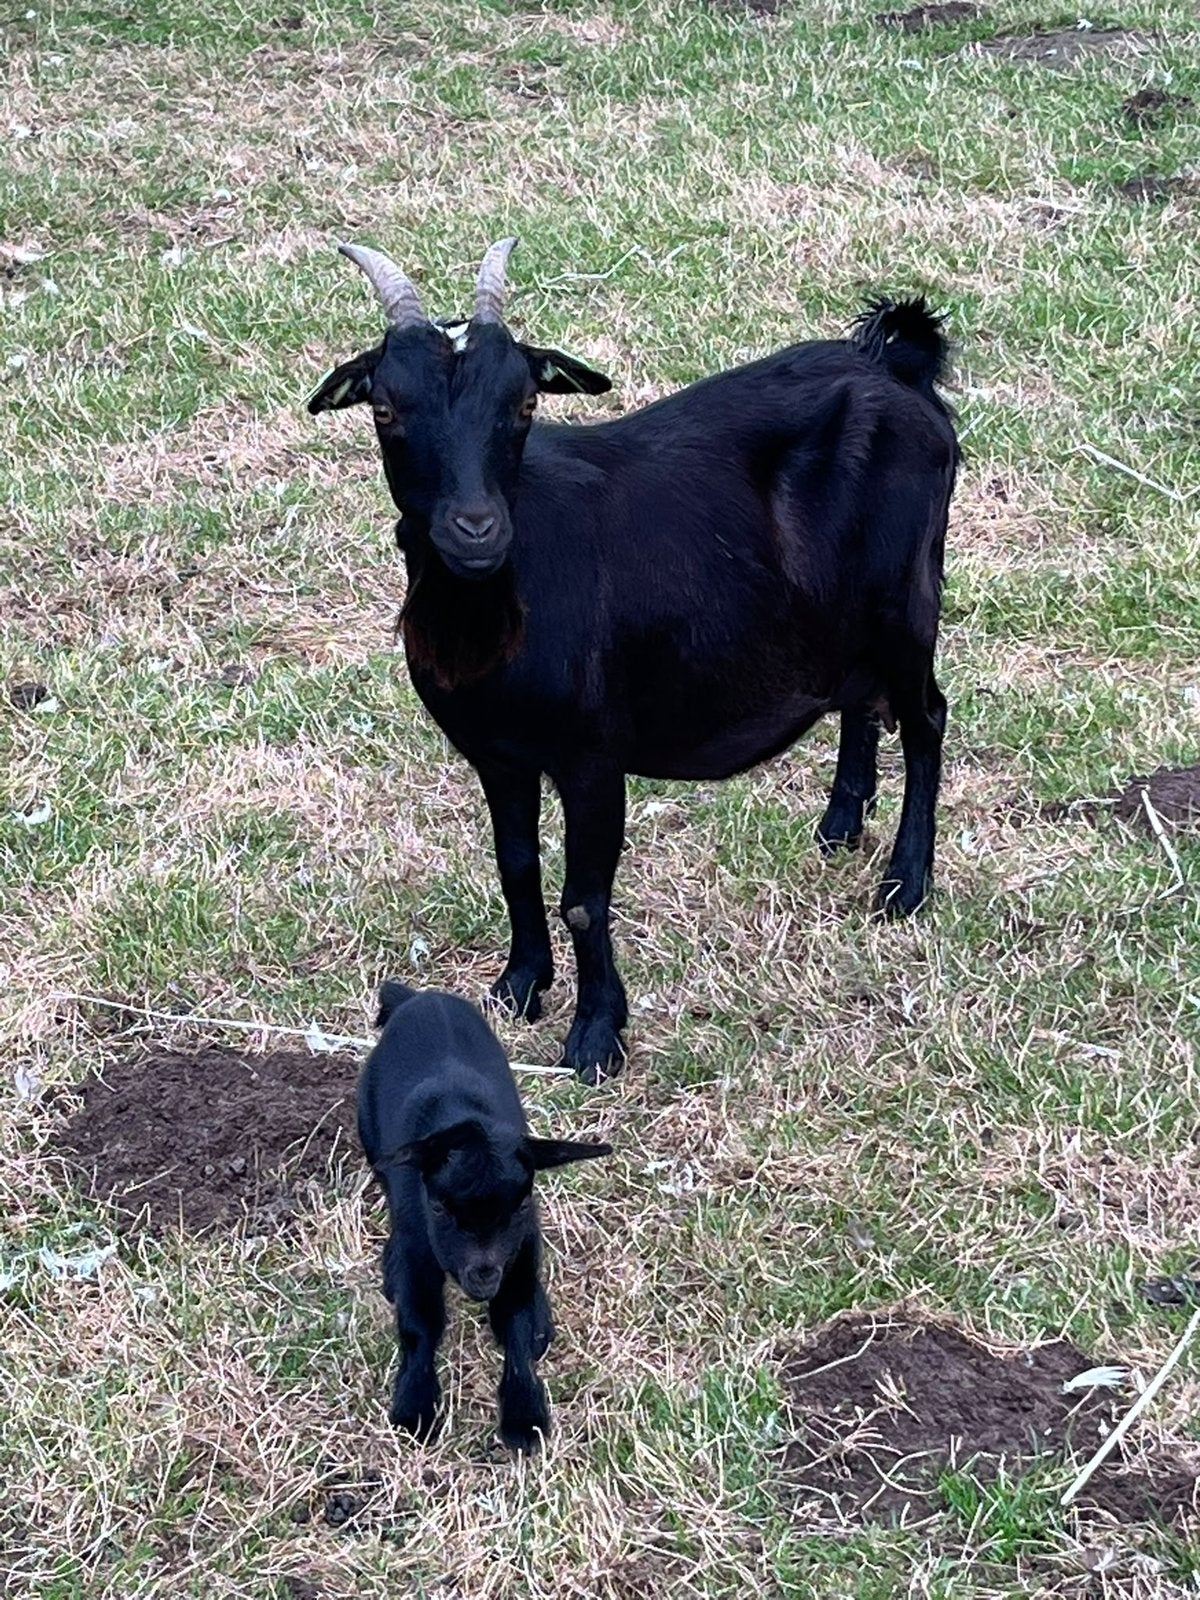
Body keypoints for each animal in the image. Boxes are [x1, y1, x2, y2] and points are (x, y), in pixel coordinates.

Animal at [311, 239, 959, 1084]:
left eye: (524, 405)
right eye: (385, 410)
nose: (476, 529)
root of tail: (895, 367)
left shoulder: (592, 757)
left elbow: (585, 896)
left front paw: (594, 1038)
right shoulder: (496, 754)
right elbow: (516, 864)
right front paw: (517, 987)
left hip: (907, 597)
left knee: (926, 719)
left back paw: (905, 885)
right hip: (844, 613)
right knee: (859, 697)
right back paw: (839, 825)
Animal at [357, 979, 610, 1451]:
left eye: (523, 1204)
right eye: (438, 1206)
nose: (483, 1273)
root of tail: (422, 998)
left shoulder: (521, 1256)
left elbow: (517, 1328)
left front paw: (524, 1417)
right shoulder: (422, 1252)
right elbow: (420, 1325)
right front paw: (415, 1408)